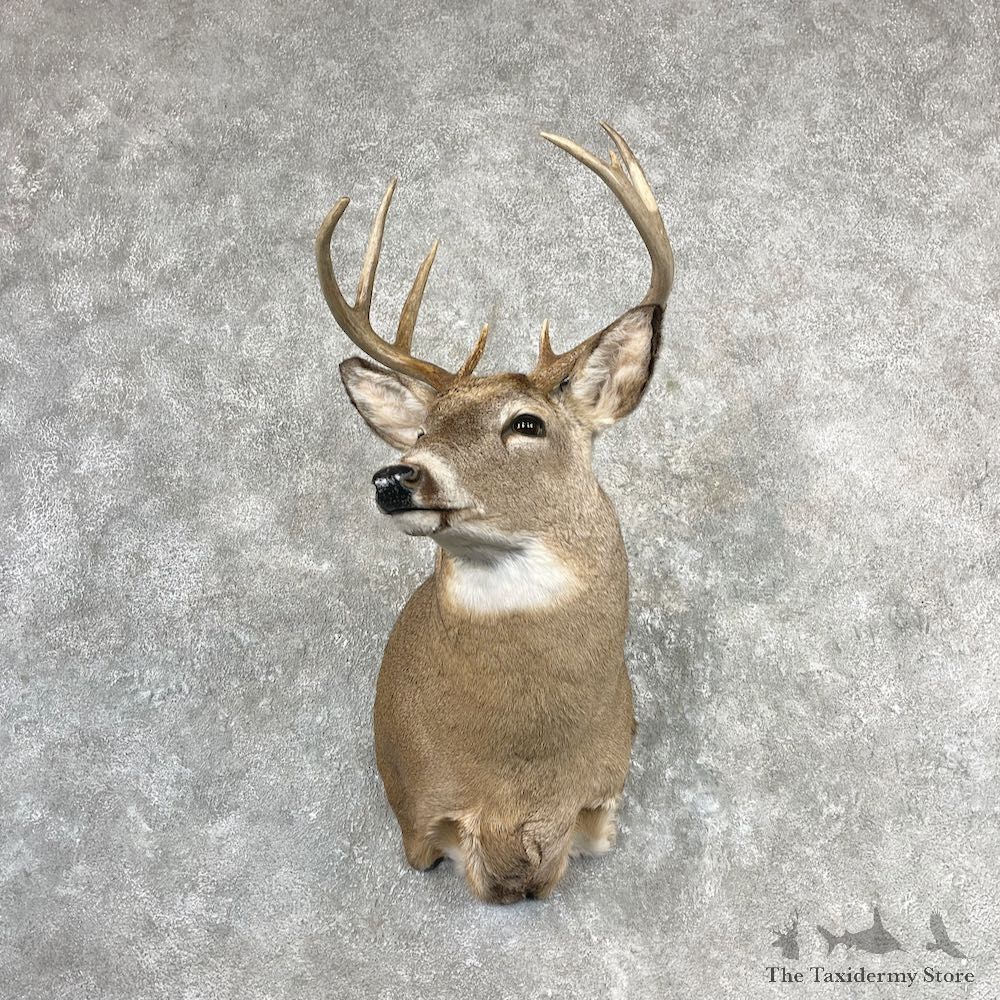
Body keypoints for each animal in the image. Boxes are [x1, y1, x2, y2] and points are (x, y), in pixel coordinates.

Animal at [316, 123, 674, 904]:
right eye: (424, 429)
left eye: (527, 423)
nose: (395, 478)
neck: (521, 783)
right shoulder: (420, 814)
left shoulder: (602, 800)